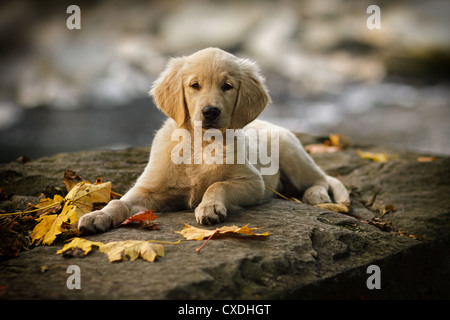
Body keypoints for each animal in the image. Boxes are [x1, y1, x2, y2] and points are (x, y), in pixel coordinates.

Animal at [79, 47, 350, 232]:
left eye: (227, 86)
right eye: (194, 85)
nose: (210, 111)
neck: (201, 144)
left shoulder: (254, 182)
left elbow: (217, 184)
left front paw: (209, 207)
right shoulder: (149, 188)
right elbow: (120, 202)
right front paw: (98, 216)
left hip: (292, 153)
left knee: (321, 179)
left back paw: (317, 195)